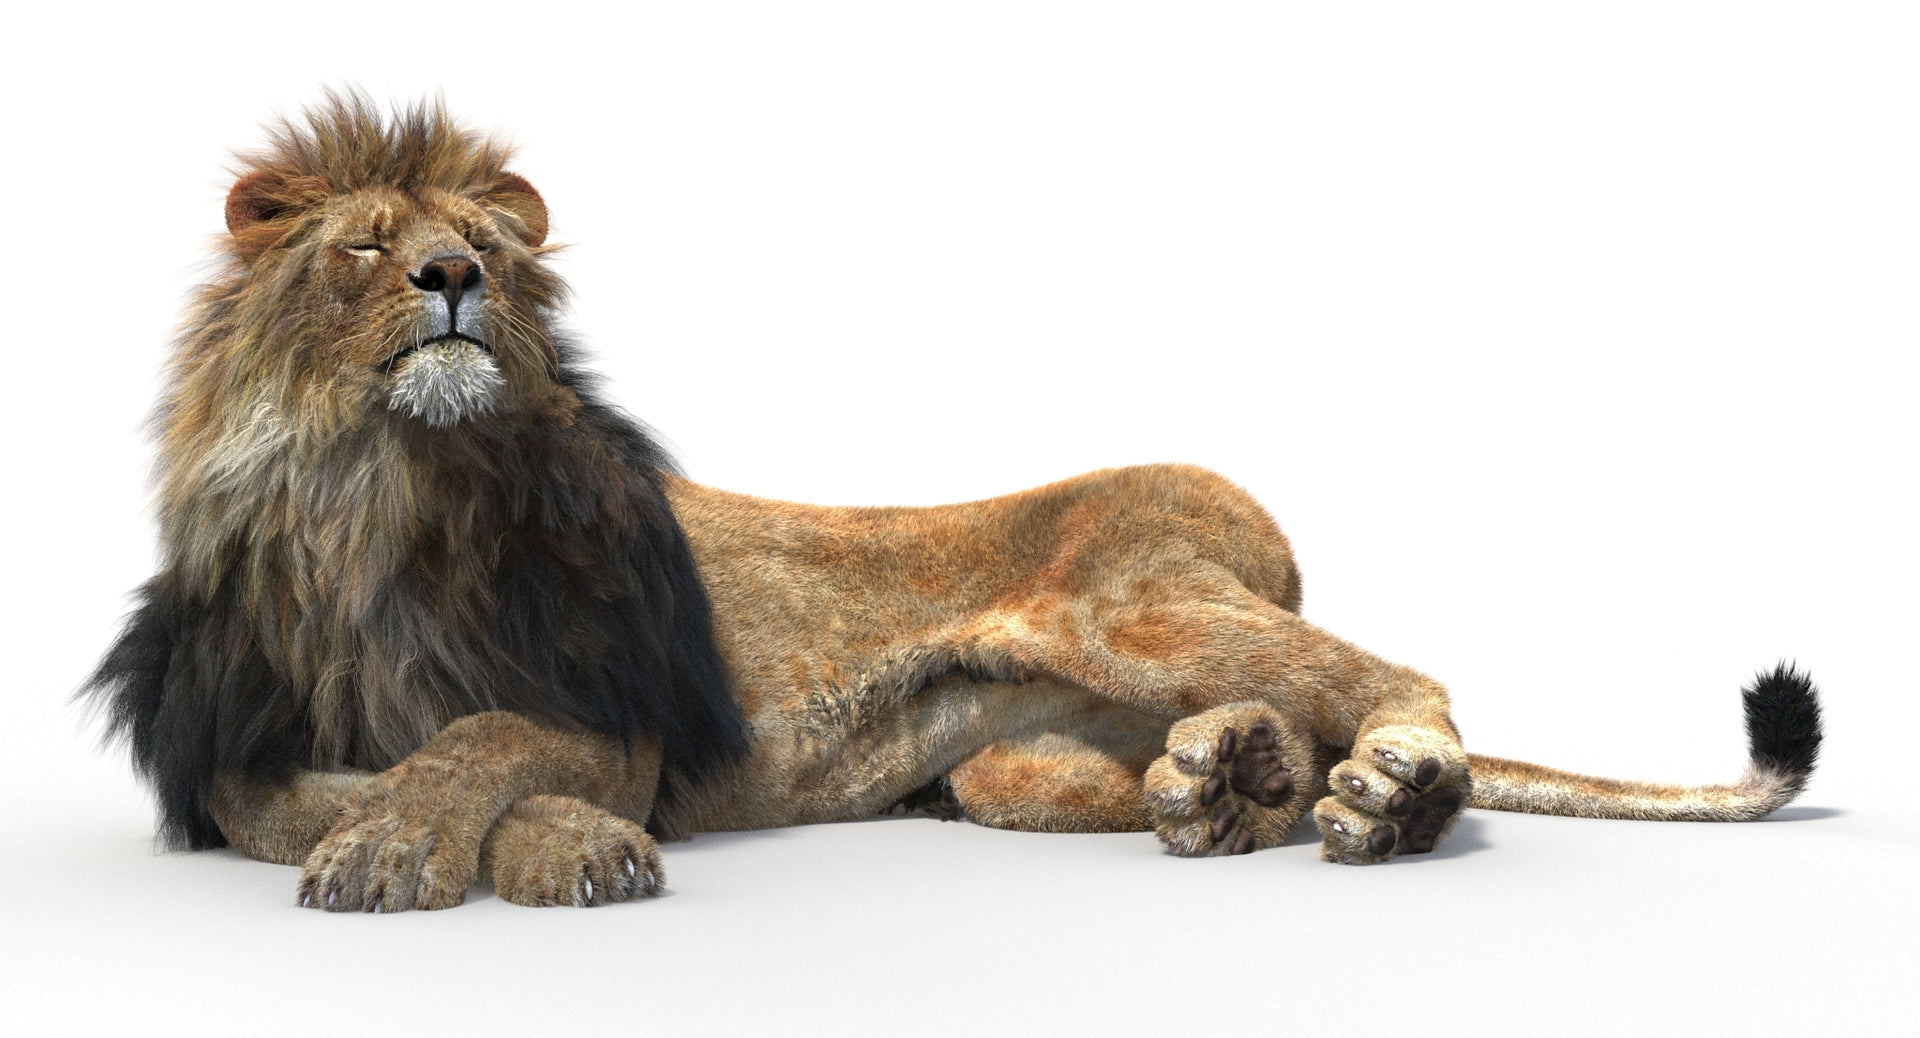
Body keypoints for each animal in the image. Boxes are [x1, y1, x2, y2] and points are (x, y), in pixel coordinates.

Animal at [84, 93, 1823, 911]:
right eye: (368, 246)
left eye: (489, 254)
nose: (449, 276)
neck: (375, 502)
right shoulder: (231, 730)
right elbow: (285, 794)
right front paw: (404, 833)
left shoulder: (621, 705)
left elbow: (477, 741)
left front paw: (513, 843)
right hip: (1012, 763)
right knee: (1225, 740)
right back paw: (1234, 781)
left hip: (1131, 597)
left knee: (1404, 677)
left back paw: (1384, 792)